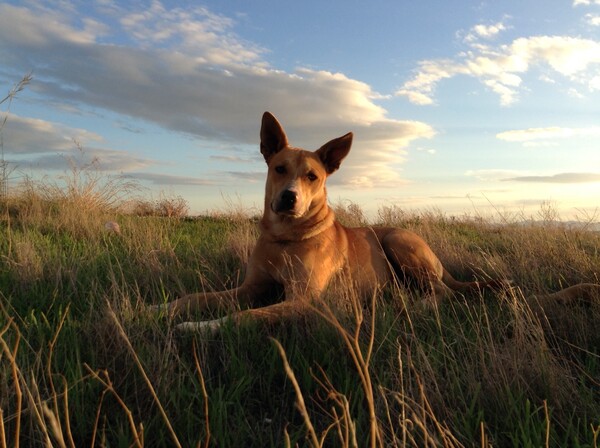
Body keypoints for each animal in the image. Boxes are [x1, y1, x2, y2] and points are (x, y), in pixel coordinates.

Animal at [161, 112, 600, 330]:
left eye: (312, 176)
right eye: (279, 168)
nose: (288, 198)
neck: (287, 238)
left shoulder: (304, 301)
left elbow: (243, 317)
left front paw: (198, 328)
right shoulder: (250, 287)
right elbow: (193, 298)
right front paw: (159, 310)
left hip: (401, 244)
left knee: (442, 294)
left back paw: (413, 307)